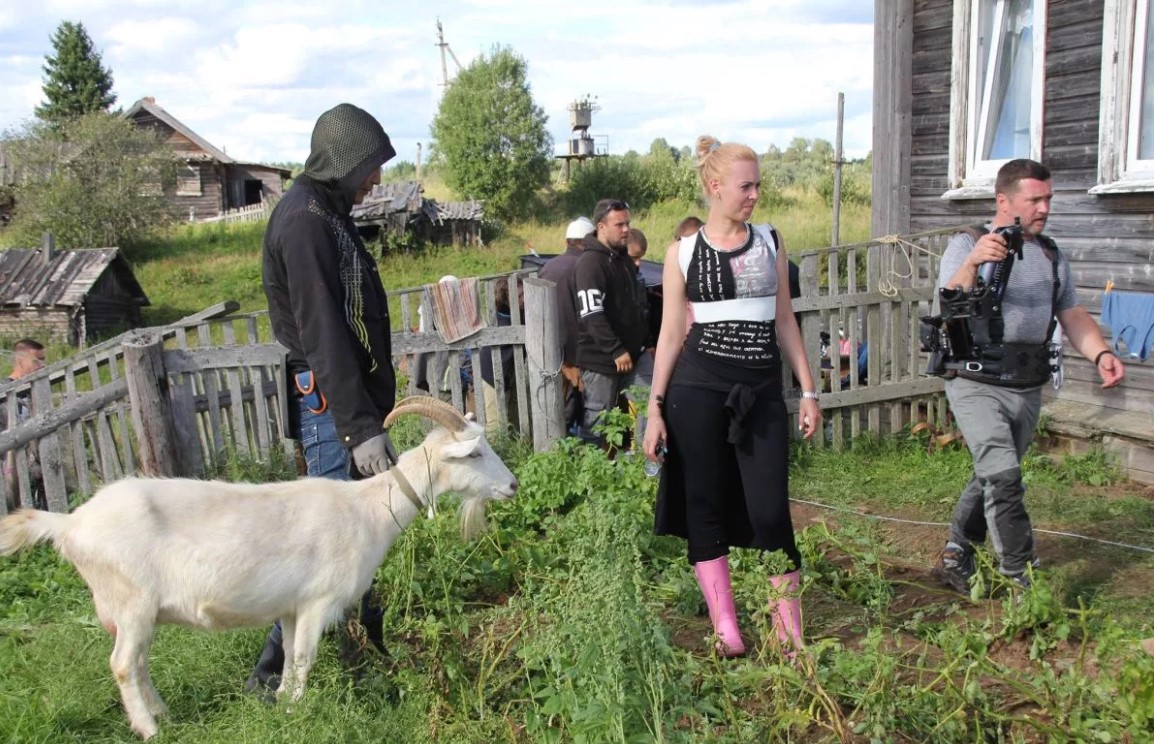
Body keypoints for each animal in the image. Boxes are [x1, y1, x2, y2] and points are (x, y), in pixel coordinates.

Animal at [0, 394, 519, 738]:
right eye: (474, 453)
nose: (512, 485)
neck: (367, 509)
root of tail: (70, 523)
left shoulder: (290, 609)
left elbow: (289, 660)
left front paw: (283, 705)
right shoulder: (317, 602)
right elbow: (305, 660)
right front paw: (297, 717)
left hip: (137, 613)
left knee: (139, 663)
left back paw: (163, 713)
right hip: (131, 603)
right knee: (125, 665)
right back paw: (150, 729)